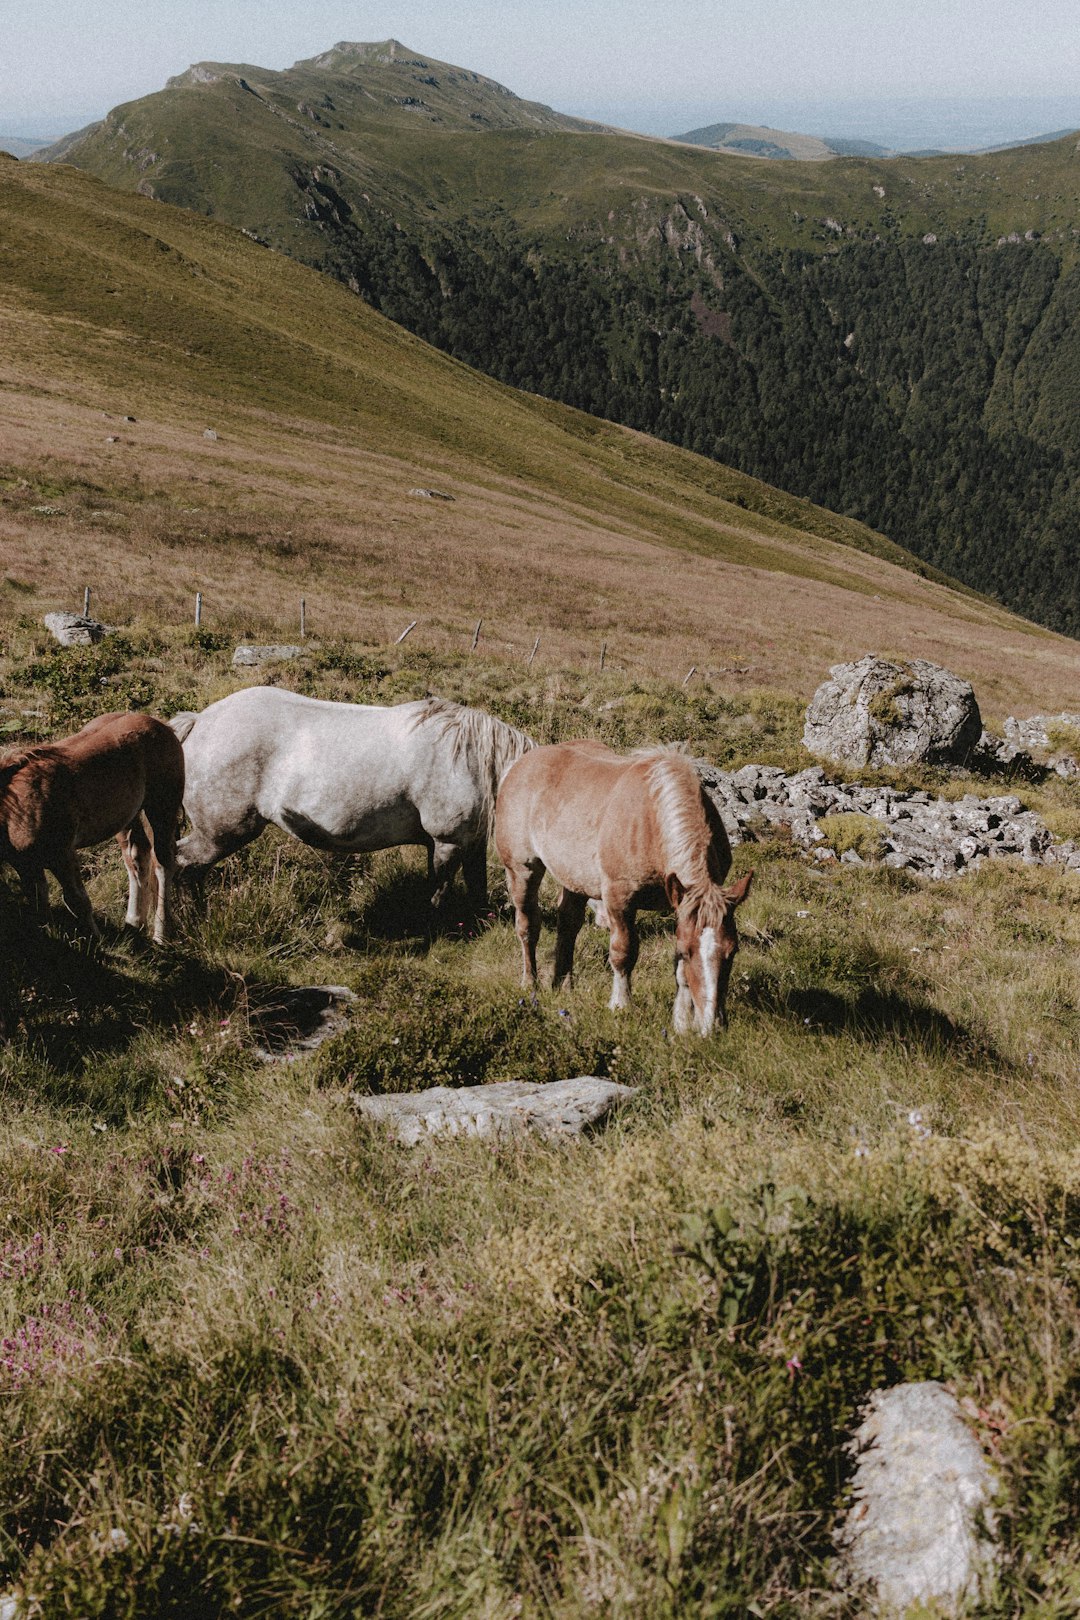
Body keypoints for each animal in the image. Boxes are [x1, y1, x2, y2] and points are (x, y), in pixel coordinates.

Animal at [0, 712, 183, 946]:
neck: (15, 810)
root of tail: (161, 725)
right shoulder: (25, 864)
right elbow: (39, 902)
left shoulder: (62, 855)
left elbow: (76, 899)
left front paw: (95, 941)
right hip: (126, 819)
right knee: (138, 858)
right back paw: (133, 924)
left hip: (161, 809)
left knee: (163, 864)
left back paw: (160, 934)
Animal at [167, 686, 531, 907]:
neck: (471, 757)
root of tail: (200, 721)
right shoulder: (447, 843)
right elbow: (440, 892)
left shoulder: (469, 843)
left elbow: (476, 886)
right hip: (221, 834)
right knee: (185, 867)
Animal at [495, 741, 751, 1030]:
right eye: (689, 952)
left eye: (733, 951)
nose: (711, 1024)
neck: (652, 818)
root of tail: (518, 765)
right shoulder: (619, 900)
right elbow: (623, 952)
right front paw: (620, 1005)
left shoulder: (681, 902)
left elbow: (679, 971)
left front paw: (682, 1021)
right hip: (522, 871)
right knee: (528, 926)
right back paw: (530, 983)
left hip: (575, 880)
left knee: (568, 926)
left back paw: (563, 985)